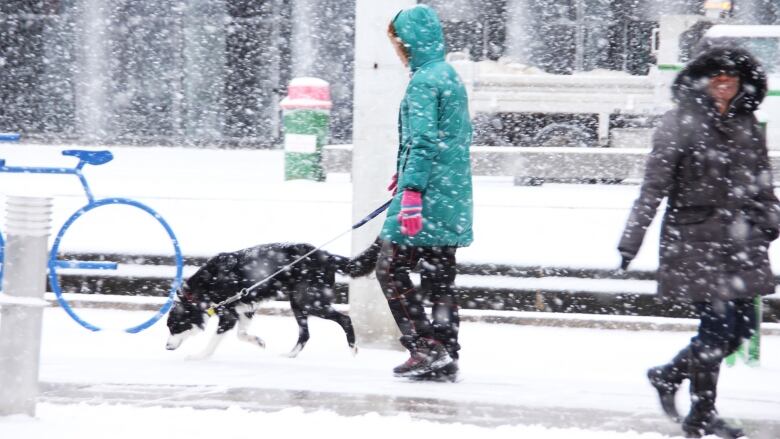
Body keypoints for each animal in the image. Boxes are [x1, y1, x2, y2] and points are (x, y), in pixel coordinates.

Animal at [165, 241, 380, 360]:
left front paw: (199, 356)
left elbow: (213, 342)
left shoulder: (228, 315)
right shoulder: (245, 308)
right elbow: (241, 335)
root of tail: (327, 256)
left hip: (311, 301)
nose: (166, 347)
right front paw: (258, 341)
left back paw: (352, 350)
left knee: (345, 320)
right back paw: (290, 355)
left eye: (175, 327)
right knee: (305, 334)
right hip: (297, 303)